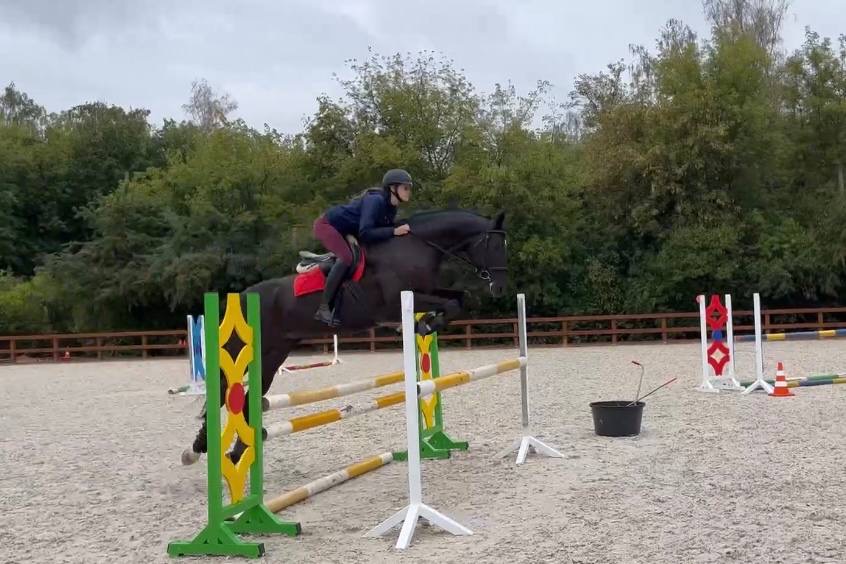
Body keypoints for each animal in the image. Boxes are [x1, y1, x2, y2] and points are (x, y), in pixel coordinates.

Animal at [181, 208, 509, 465]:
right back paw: (201, 449)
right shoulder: (396, 302)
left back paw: (234, 453)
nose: (500, 288)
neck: (415, 247)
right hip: (247, 349)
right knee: (226, 389)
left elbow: (458, 299)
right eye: (494, 244)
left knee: (248, 397)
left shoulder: (428, 291)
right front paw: (424, 325)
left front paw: (427, 323)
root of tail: (243, 295)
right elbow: (451, 303)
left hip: (272, 354)